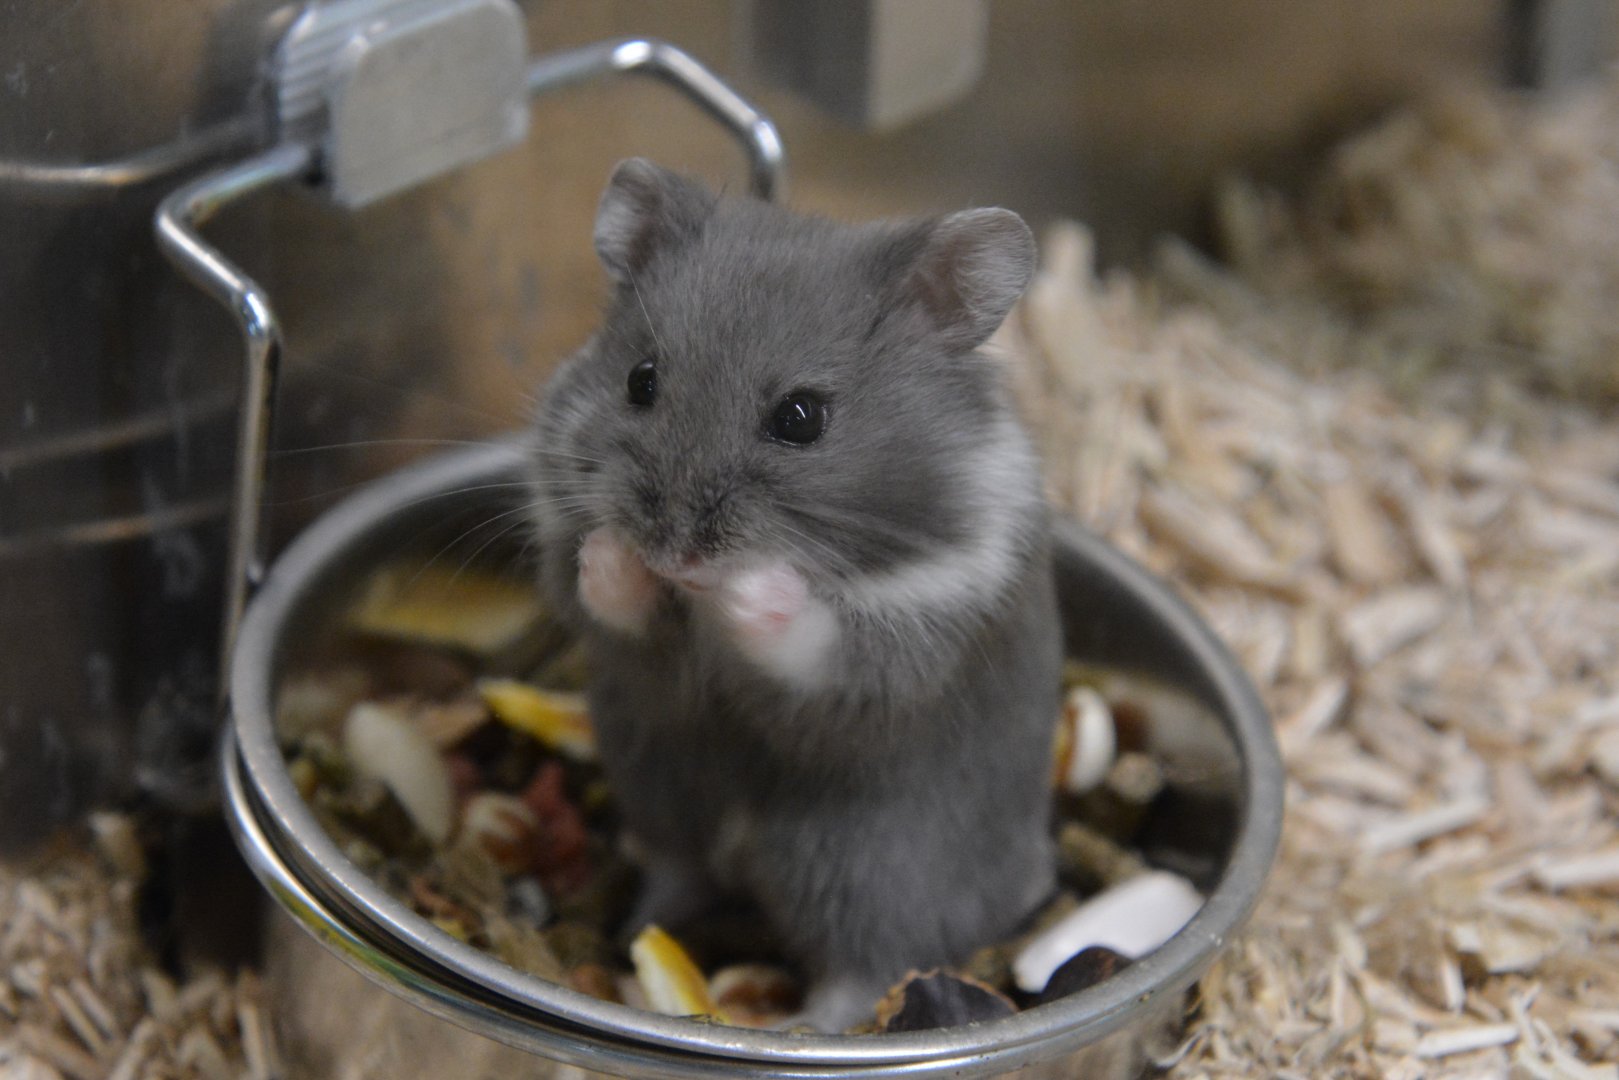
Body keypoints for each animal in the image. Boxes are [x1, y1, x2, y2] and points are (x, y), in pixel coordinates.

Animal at [527, 159, 1061, 1032]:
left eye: (802, 417)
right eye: (640, 380)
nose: (675, 551)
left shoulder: (910, 639)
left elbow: (809, 635)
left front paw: (745, 584)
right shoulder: (611, 623)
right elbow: (602, 598)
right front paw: (616, 555)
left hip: (861, 866)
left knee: (862, 973)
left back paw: (786, 1025)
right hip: (661, 789)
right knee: (679, 871)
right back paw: (637, 930)